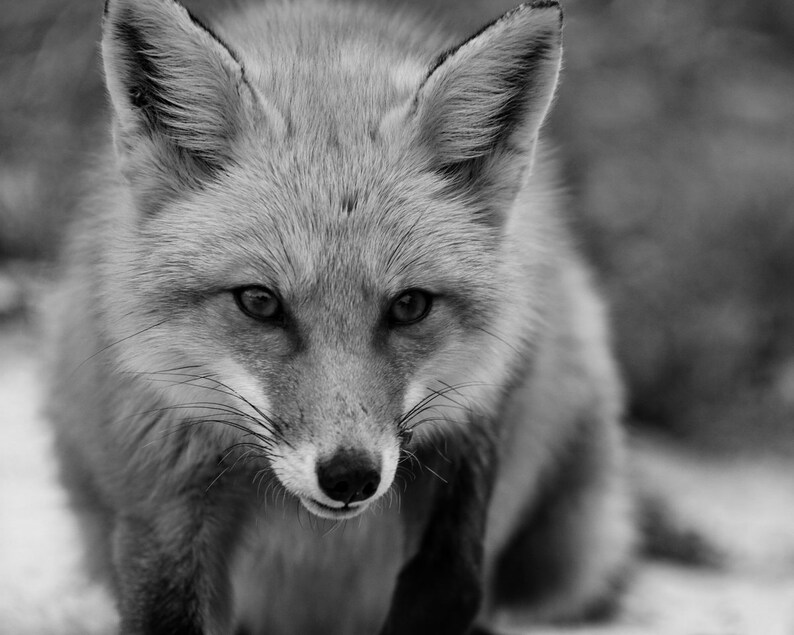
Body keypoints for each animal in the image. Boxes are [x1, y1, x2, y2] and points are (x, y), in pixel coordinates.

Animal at [46, 0, 635, 633]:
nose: (350, 476)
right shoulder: (162, 481)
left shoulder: (478, 409)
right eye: (259, 301)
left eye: (409, 305)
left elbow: (448, 585)